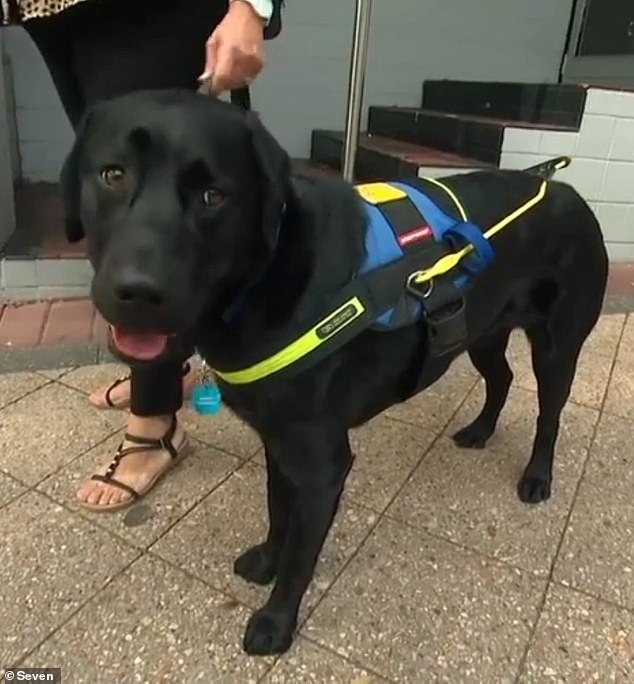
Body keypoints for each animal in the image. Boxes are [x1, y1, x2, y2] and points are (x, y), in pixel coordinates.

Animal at [60, 88, 608, 656]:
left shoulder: (322, 463)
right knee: (501, 378)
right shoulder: (279, 442)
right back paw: (480, 430)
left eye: (215, 195)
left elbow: (301, 555)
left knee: (549, 415)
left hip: (557, 347)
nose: (138, 291)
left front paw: (276, 621)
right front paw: (266, 558)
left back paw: (537, 477)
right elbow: (278, 511)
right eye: (113, 174)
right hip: (480, 331)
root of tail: (563, 186)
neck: (265, 280)